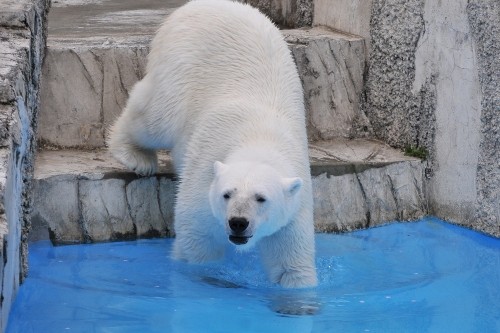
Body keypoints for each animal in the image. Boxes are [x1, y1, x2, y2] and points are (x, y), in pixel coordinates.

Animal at [108, 0, 316, 288]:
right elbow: (198, 240)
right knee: (155, 116)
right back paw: (136, 156)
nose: (238, 222)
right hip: (180, 64)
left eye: (261, 198)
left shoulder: (295, 204)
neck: (259, 139)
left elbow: (291, 264)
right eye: (226, 193)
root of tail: (201, 4)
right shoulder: (204, 176)